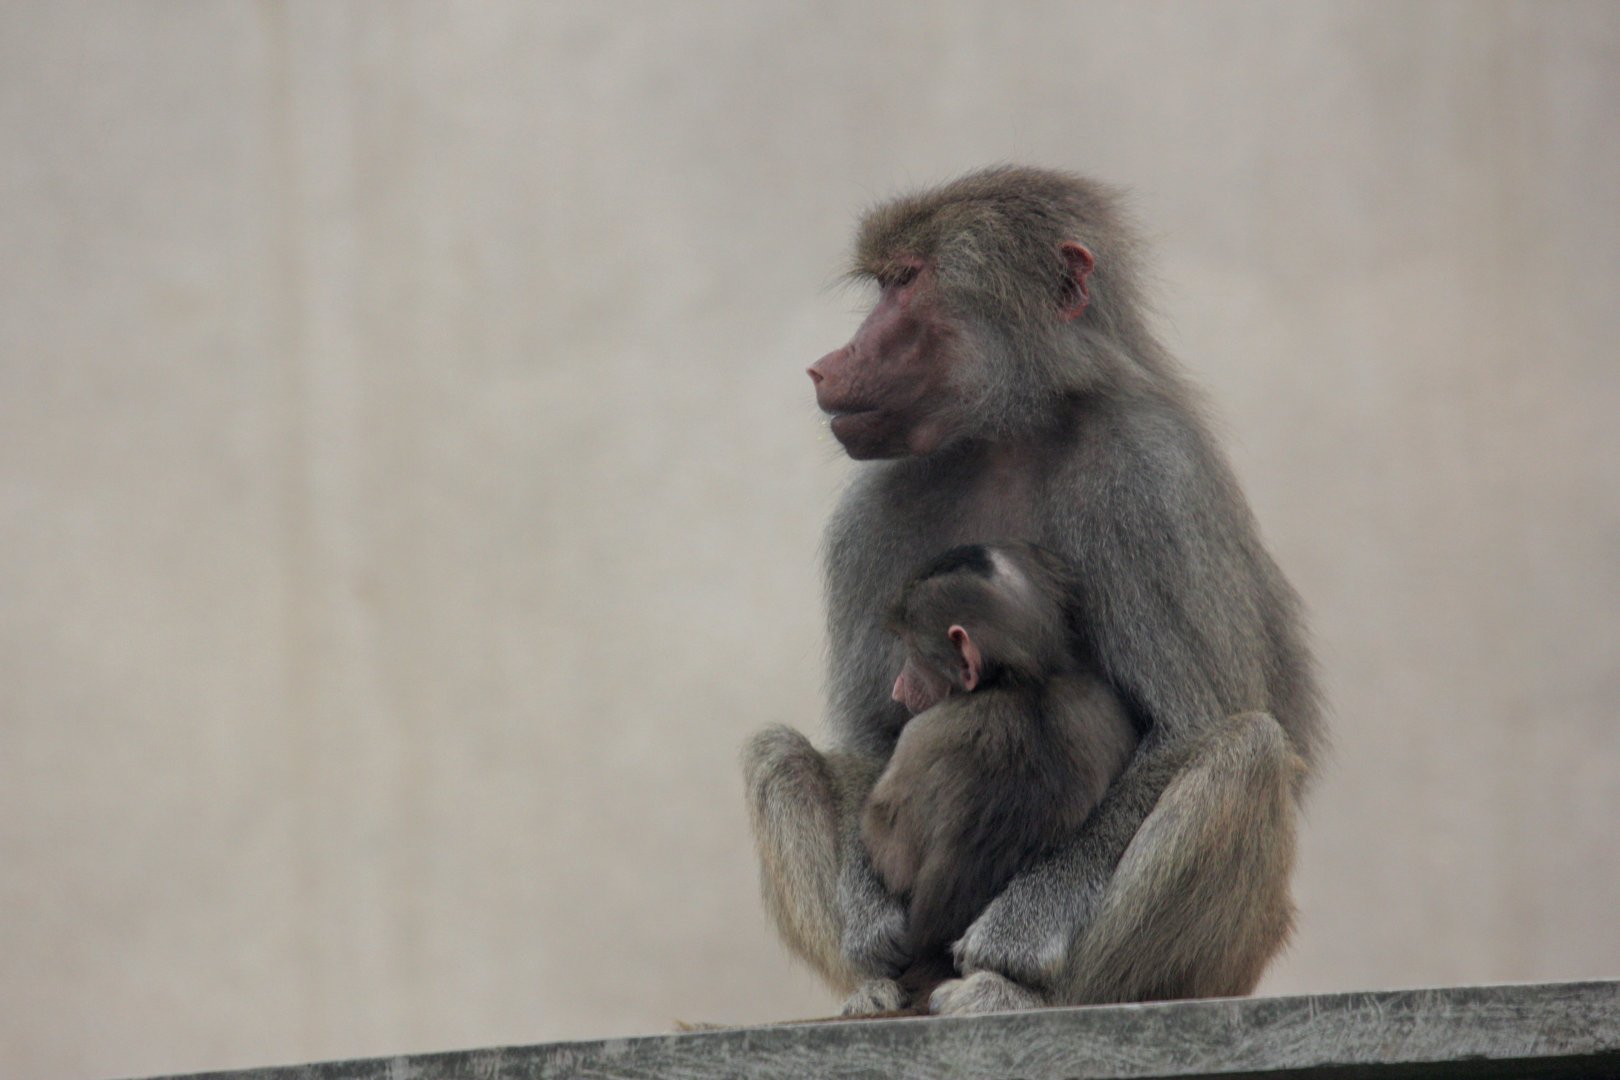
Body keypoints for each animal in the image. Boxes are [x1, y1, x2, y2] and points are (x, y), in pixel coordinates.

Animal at [861, 542, 1138, 1011]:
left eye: (914, 653)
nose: (898, 689)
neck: (1024, 679)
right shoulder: (1106, 705)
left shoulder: (922, 734)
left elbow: (889, 849)